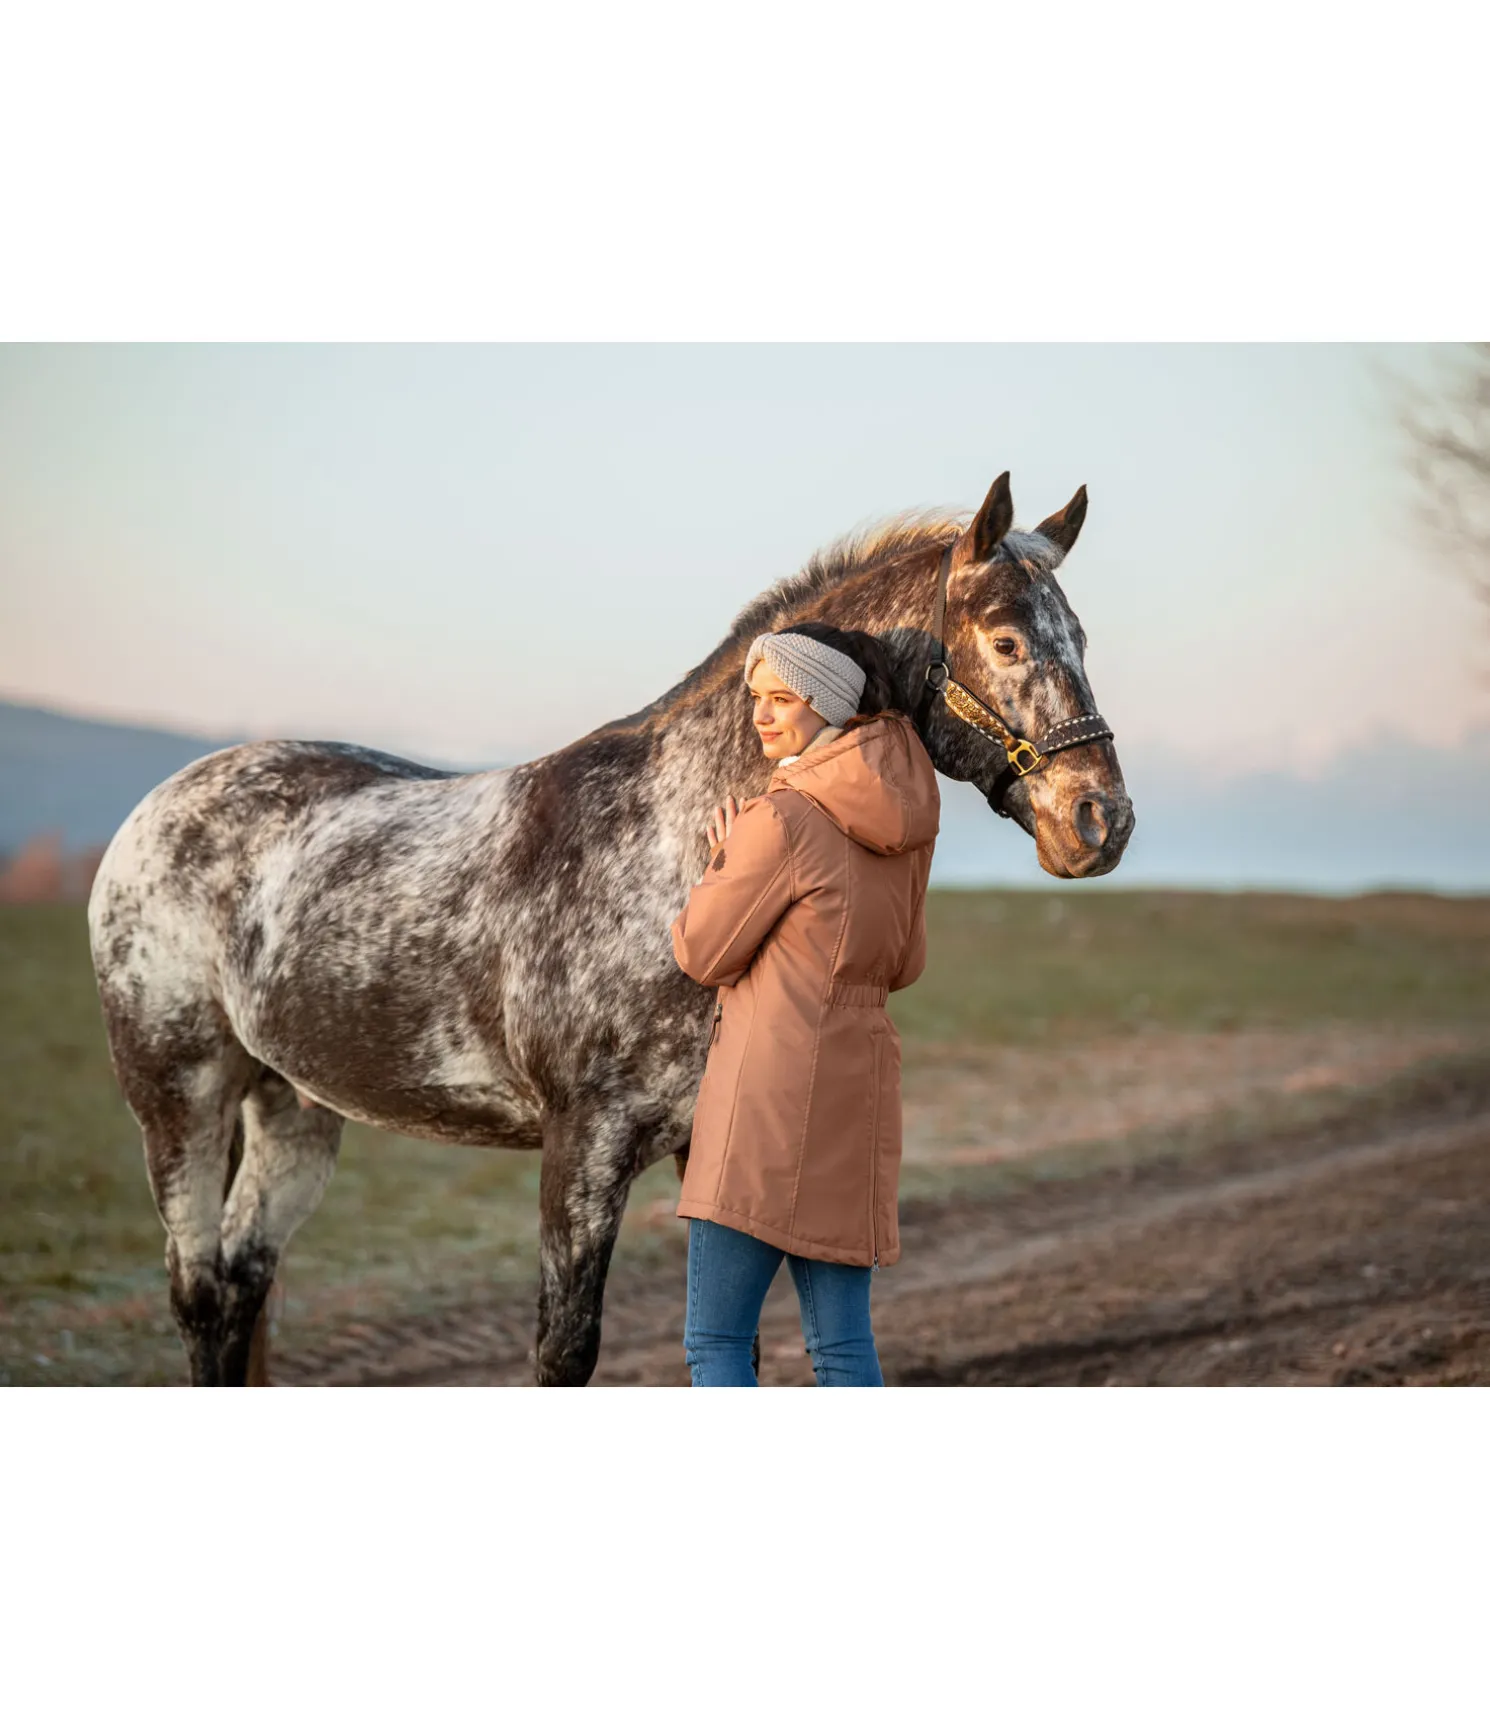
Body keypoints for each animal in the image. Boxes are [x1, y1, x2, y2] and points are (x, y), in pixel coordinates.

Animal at [87, 471, 1134, 1386]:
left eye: (1079, 636)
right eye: (1007, 641)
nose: (1101, 822)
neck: (667, 846)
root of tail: (155, 810)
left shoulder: (701, 1146)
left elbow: (732, 1337)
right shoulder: (583, 1146)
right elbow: (566, 1350)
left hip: (294, 1109)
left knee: (242, 1284)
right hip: (180, 1098)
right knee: (200, 1292)